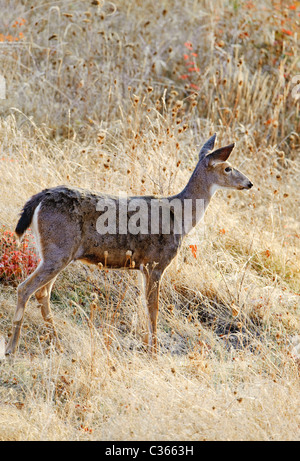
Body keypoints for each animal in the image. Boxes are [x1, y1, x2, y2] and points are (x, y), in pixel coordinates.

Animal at [5, 133, 253, 356]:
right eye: (228, 168)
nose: (249, 183)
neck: (180, 217)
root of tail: (39, 199)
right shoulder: (155, 263)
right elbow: (153, 309)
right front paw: (154, 352)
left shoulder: (142, 266)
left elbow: (146, 307)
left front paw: (148, 347)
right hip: (59, 249)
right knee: (25, 288)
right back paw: (11, 348)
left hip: (55, 253)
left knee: (42, 293)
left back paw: (56, 342)